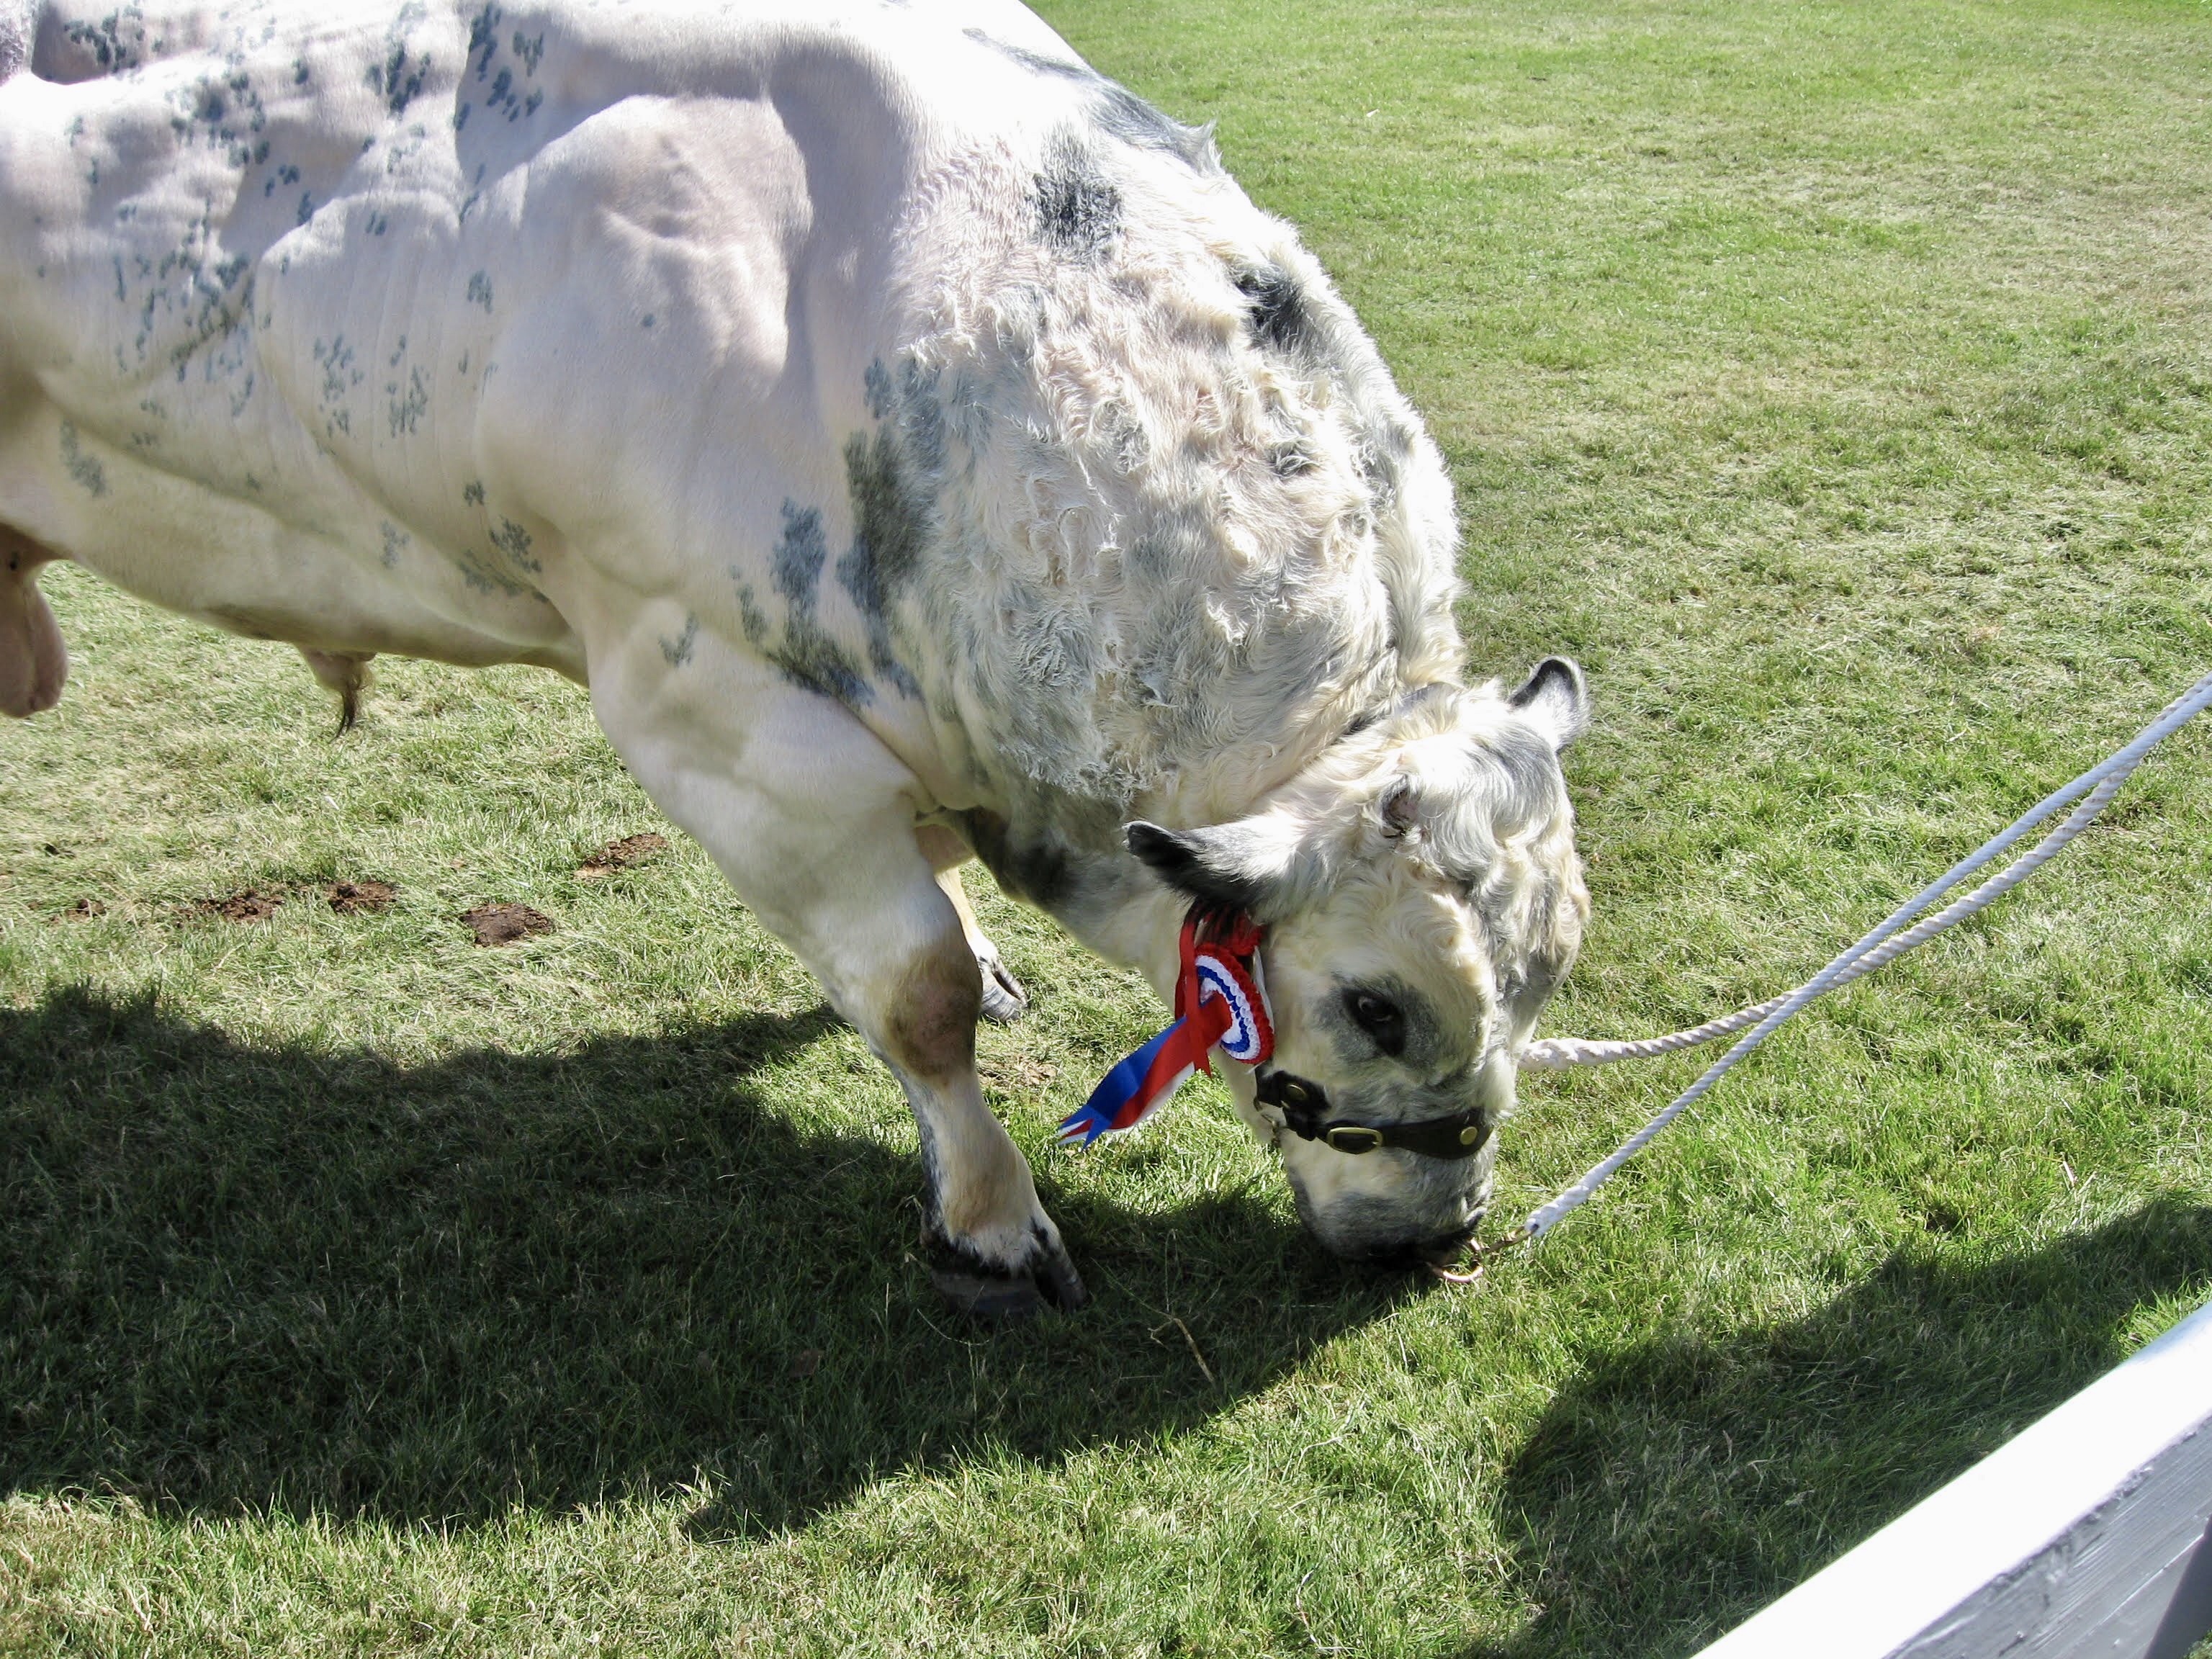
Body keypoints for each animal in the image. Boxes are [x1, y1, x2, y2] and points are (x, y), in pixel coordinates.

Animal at [0, 0, 1592, 1309]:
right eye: (1376, 1002)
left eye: (1547, 975)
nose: (1440, 1233)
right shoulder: (716, 712)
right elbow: (915, 991)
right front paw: (991, 1217)